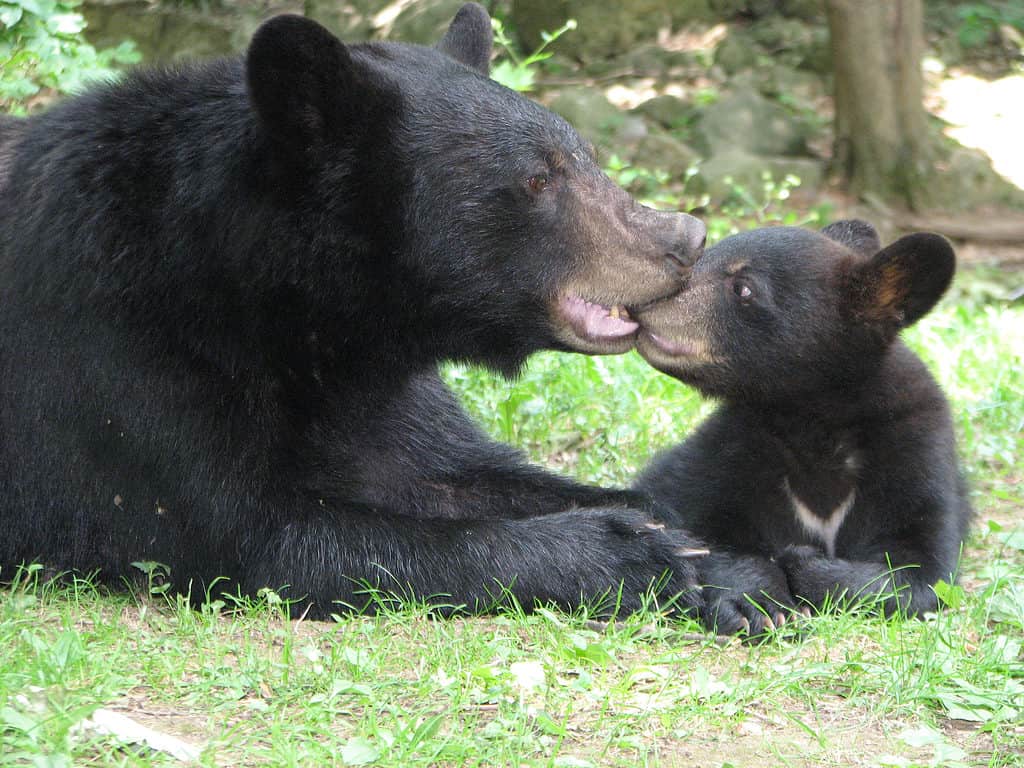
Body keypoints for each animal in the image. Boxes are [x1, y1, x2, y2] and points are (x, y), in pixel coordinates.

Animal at [2, 4, 720, 618]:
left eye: (585, 156)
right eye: (539, 178)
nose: (684, 237)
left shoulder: (379, 390)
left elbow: (452, 469)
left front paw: (674, 526)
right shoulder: (122, 363)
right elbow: (253, 535)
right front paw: (630, 553)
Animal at [634, 219, 970, 634]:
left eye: (744, 288)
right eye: (707, 253)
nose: (642, 301)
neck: (812, 421)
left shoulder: (916, 449)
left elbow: (921, 571)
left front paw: (802, 561)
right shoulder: (735, 447)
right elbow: (699, 525)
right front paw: (757, 604)